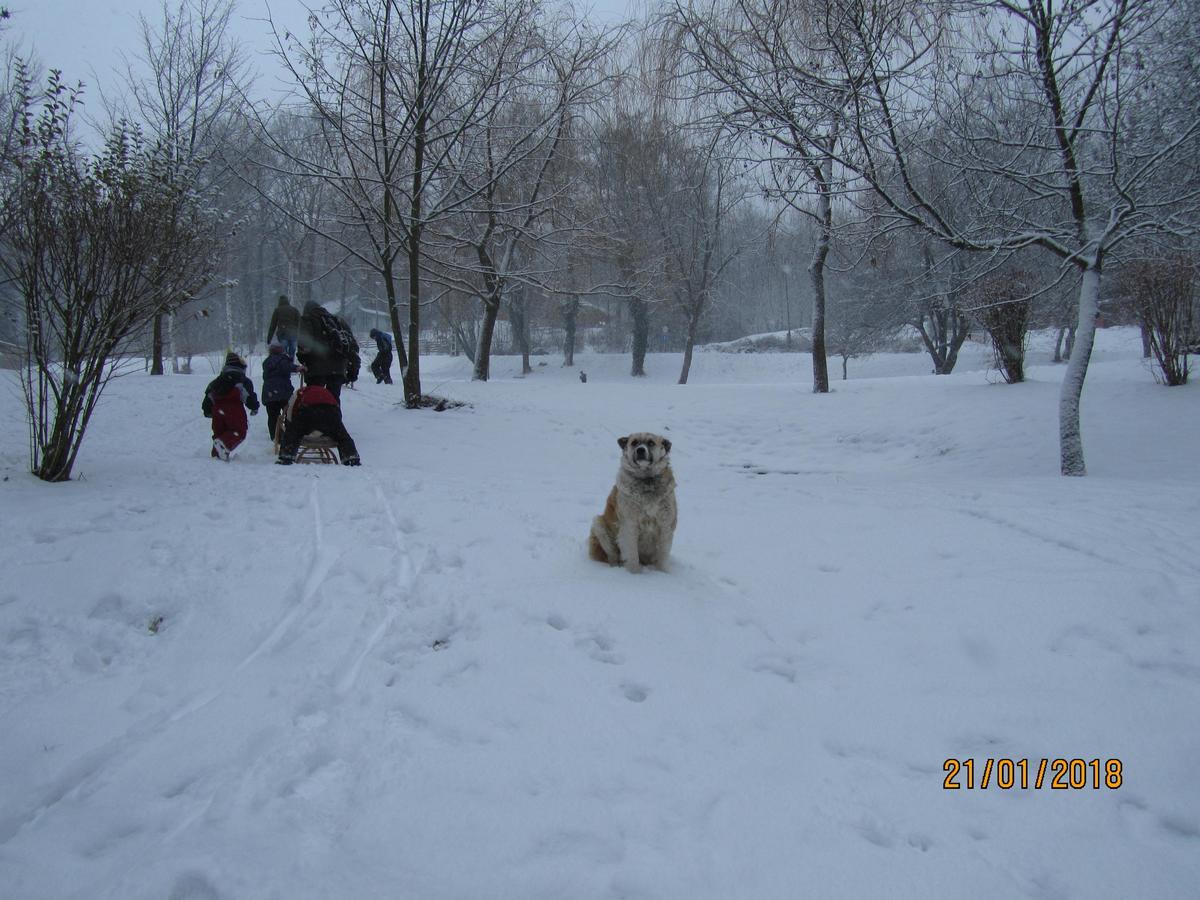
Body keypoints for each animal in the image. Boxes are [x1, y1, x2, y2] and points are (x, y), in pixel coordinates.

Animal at [588, 434, 676, 573]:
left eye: (651, 443)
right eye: (634, 443)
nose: (640, 450)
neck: (646, 481)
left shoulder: (666, 525)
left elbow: (662, 555)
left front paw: (663, 573)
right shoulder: (629, 525)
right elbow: (632, 554)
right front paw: (635, 574)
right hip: (599, 524)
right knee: (612, 555)